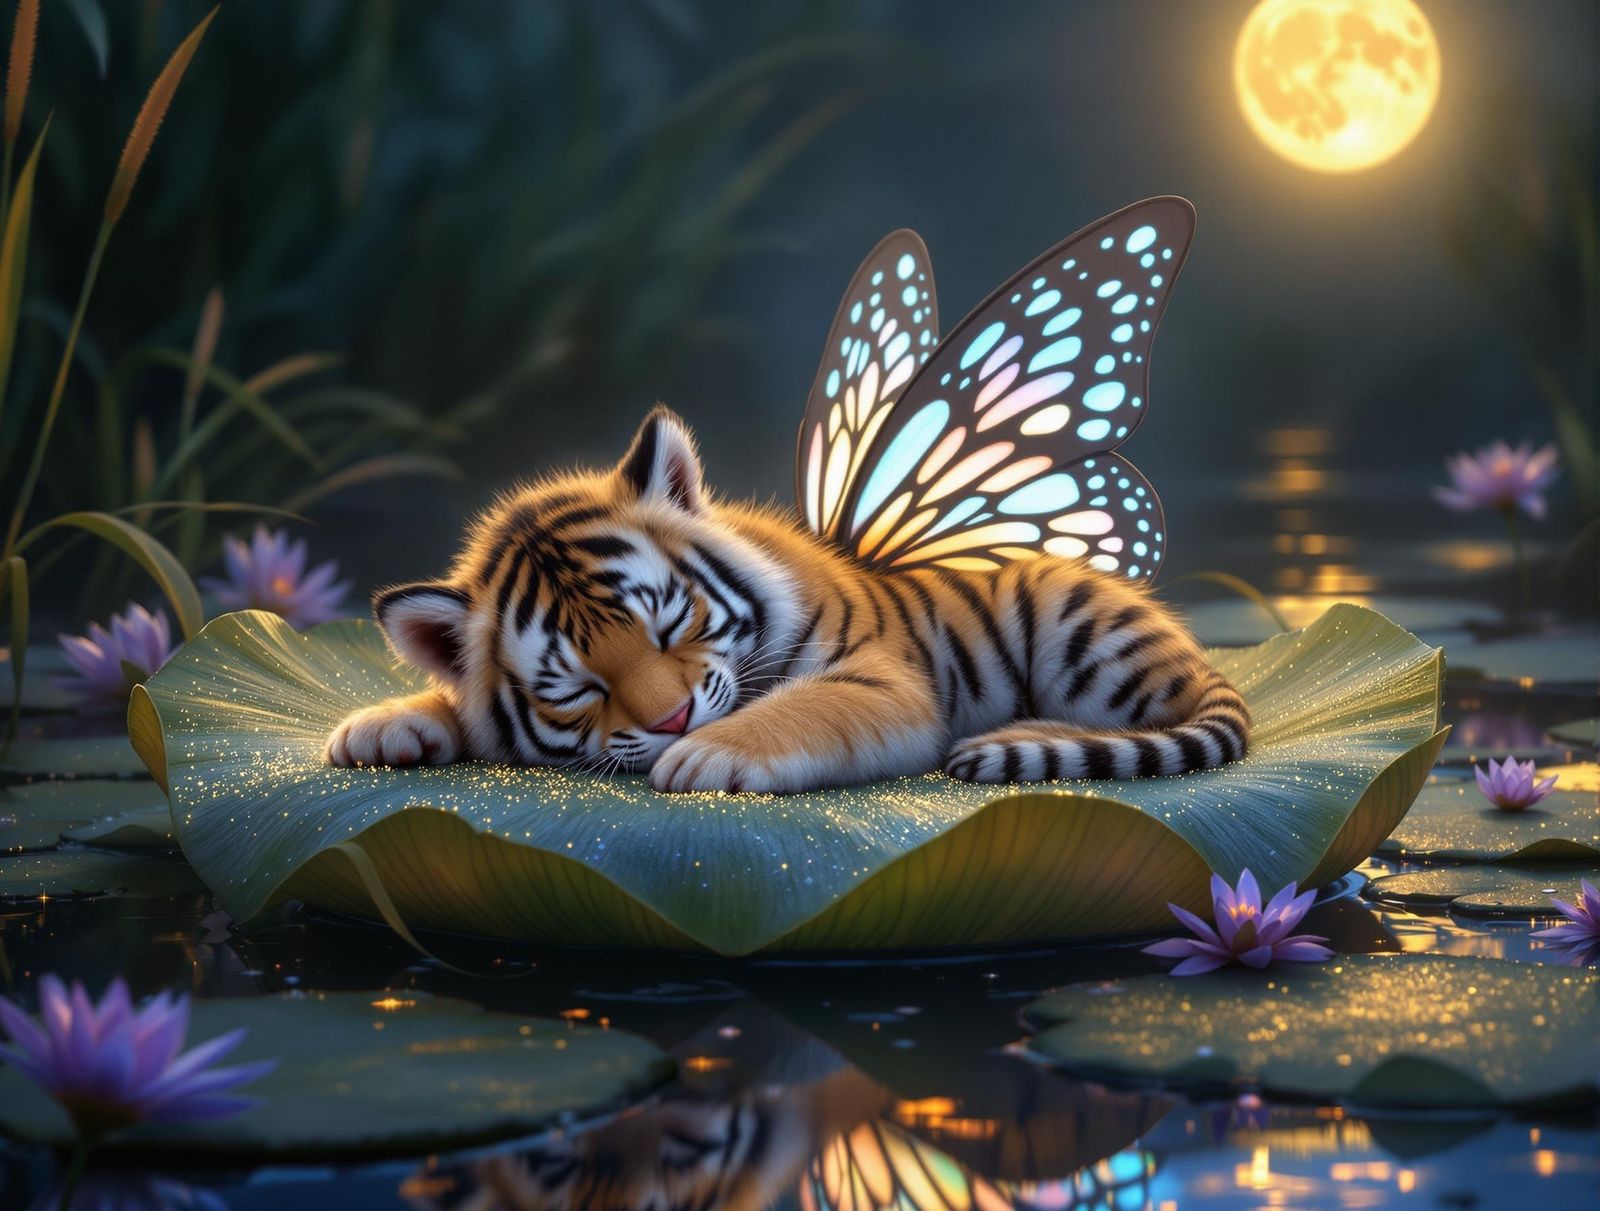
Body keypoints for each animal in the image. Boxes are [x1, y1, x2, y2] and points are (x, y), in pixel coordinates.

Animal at [325, 406, 1249, 793]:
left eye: (670, 625)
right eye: (576, 688)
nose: (672, 722)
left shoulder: (881, 680)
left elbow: (802, 708)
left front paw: (708, 756)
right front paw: (383, 725)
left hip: (1074, 625)